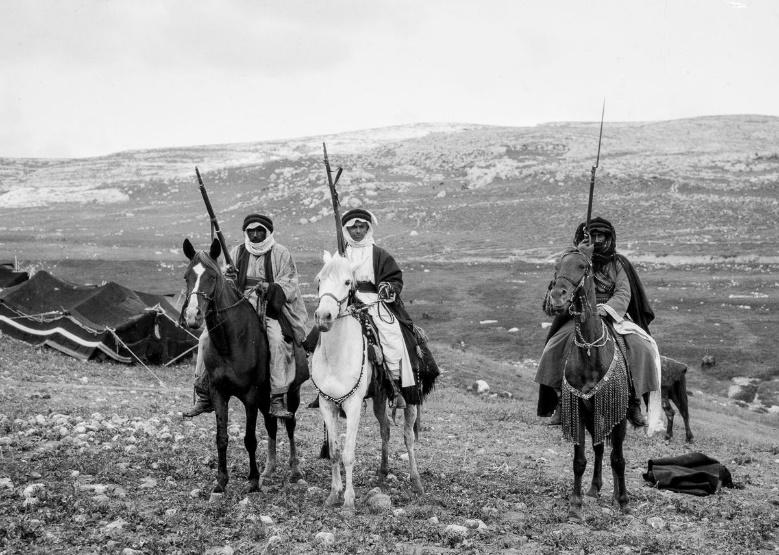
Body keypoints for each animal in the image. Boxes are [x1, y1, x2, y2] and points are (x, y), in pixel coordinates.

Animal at [182, 239, 304, 496]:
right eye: (187, 276)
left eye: (212, 276)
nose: (192, 315)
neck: (231, 341)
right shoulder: (219, 392)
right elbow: (221, 437)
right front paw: (221, 481)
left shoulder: (250, 394)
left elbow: (249, 438)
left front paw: (253, 481)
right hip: (266, 397)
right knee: (271, 424)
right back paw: (269, 470)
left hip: (291, 392)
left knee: (289, 424)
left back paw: (294, 471)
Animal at [310, 252, 424, 512]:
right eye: (319, 281)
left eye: (347, 282)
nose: (323, 317)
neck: (336, 356)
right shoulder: (327, 405)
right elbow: (334, 451)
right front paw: (333, 494)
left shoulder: (352, 406)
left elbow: (349, 453)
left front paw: (349, 500)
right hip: (380, 398)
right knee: (385, 430)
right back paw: (382, 474)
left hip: (411, 397)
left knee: (408, 437)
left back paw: (416, 481)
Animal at [544, 244, 632, 520]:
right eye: (557, 267)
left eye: (582, 266)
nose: (557, 297)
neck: (592, 354)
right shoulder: (580, 409)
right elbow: (580, 460)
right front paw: (575, 503)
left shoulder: (618, 411)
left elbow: (618, 459)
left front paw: (624, 501)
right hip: (595, 414)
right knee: (599, 448)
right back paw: (595, 488)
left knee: (612, 452)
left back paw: (615, 494)